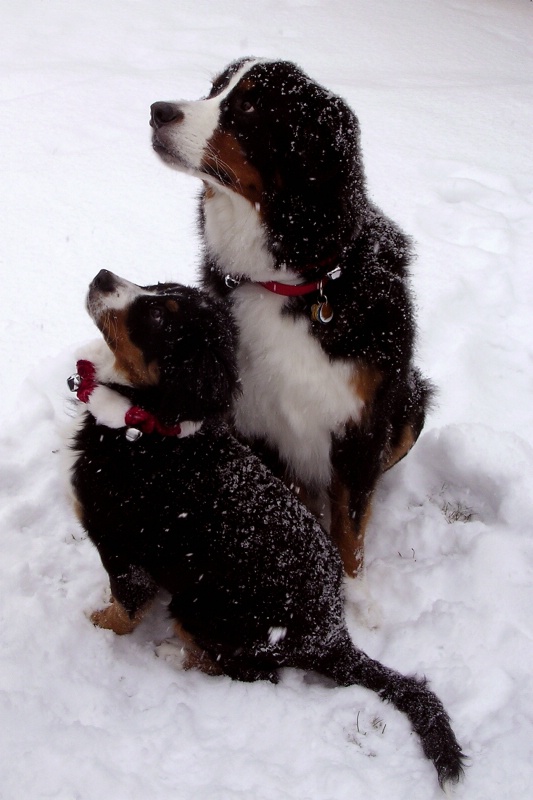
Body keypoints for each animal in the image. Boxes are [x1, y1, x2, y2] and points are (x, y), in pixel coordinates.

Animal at [68, 270, 462, 788]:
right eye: (154, 286)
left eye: (157, 317)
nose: (102, 276)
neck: (148, 429)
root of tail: (332, 636)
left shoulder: (118, 545)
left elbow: (124, 606)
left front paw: (96, 624)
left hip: (203, 608)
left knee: (250, 671)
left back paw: (174, 655)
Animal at [149, 56, 432, 576]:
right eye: (215, 89)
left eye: (249, 105)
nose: (158, 111)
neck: (287, 283)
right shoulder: (259, 425)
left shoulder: (361, 430)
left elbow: (350, 533)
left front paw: (355, 592)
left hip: (411, 402)